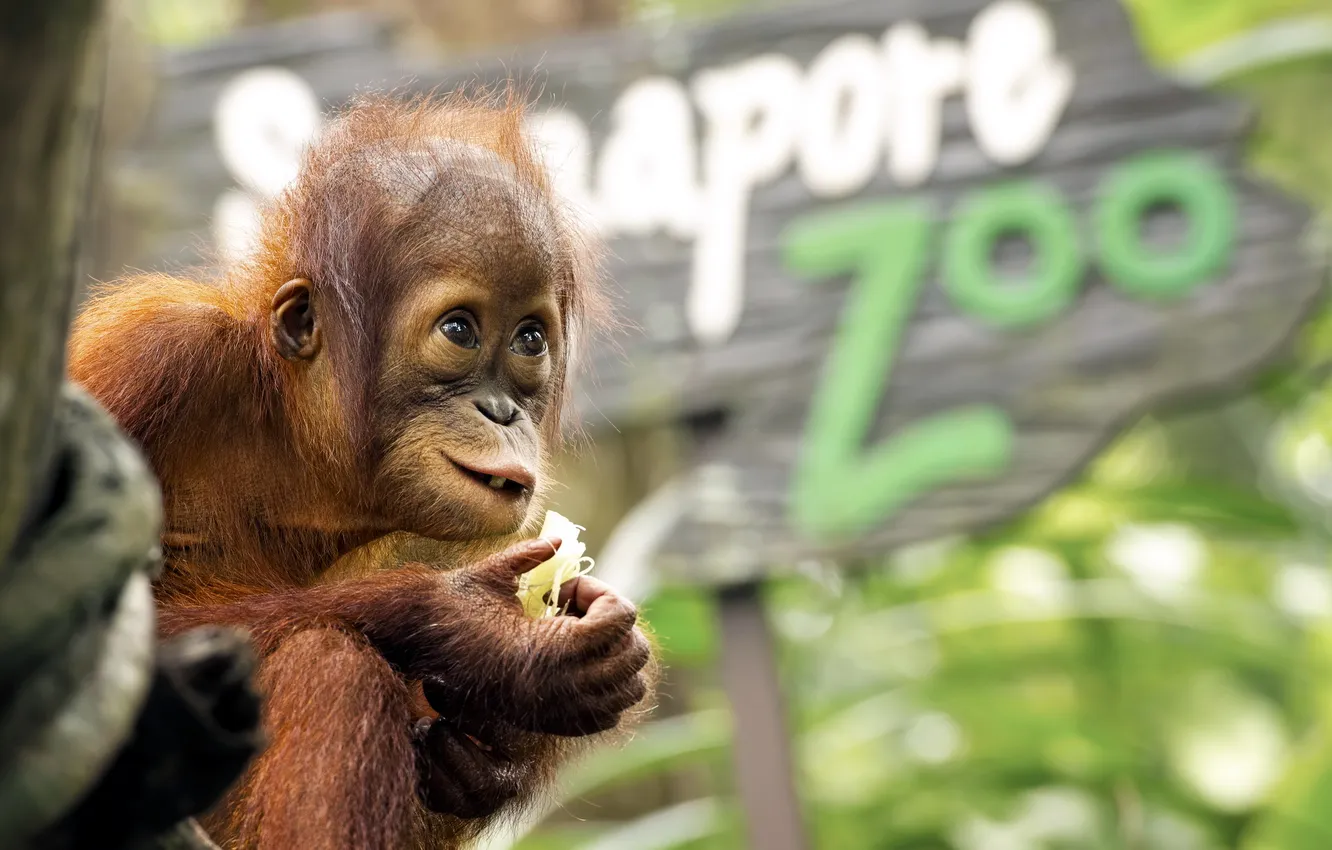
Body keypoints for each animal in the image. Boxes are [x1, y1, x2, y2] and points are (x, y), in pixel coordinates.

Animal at [67, 91, 655, 850]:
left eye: (530, 339)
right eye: (460, 330)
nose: (501, 411)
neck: (290, 435)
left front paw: (499, 749)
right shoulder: (148, 360)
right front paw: (484, 636)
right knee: (330, 663)